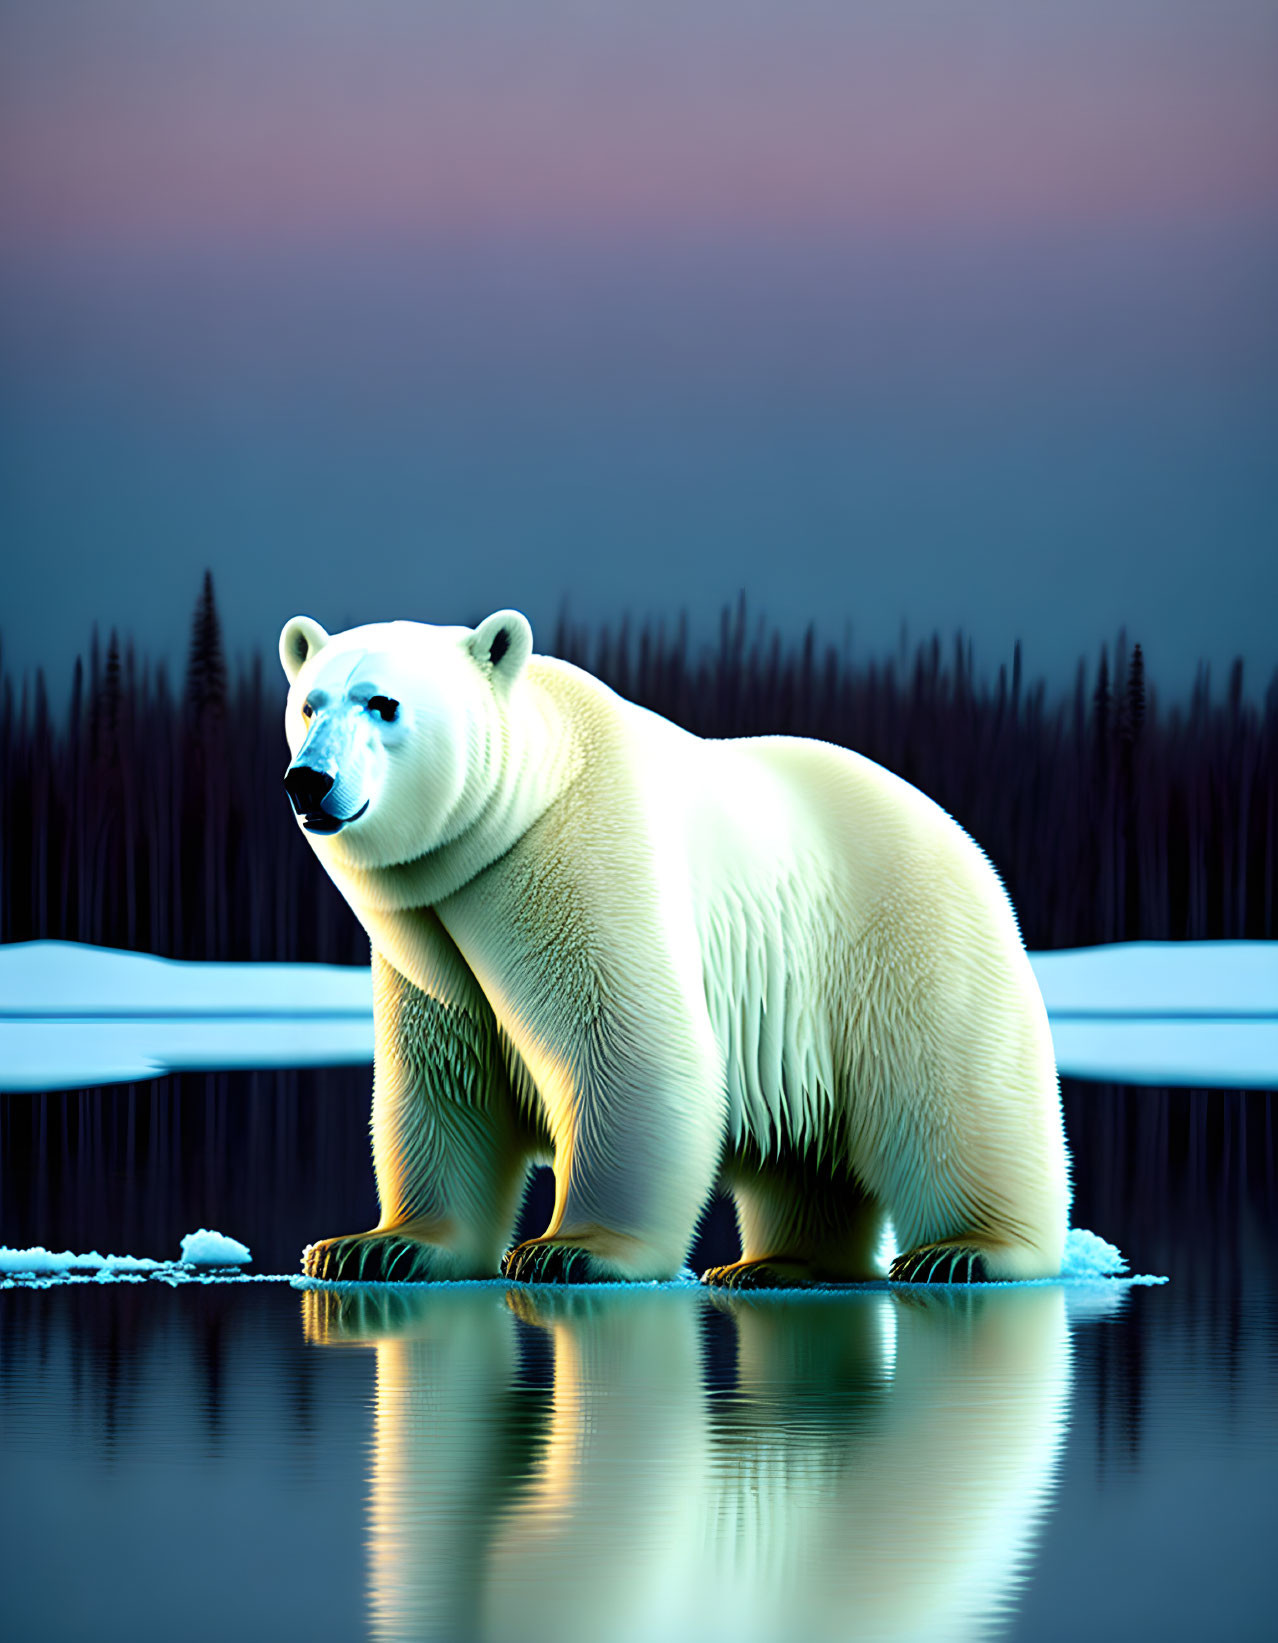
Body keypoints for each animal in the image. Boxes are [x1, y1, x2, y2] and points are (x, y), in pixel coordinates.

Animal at [280, 611, 1064, 1288]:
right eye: (310, 705)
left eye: (384, 704)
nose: (308, 780)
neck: (519, 809)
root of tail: (959, 834)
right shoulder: (426, 944)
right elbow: (445, 1076)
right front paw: (375, 1245)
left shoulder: (584, 865)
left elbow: (631, 1046)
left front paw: (571, 1250)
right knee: (804, 1150)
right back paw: (778, 1263)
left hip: (904, 937)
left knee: (953, 1091)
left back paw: (964, 1251)